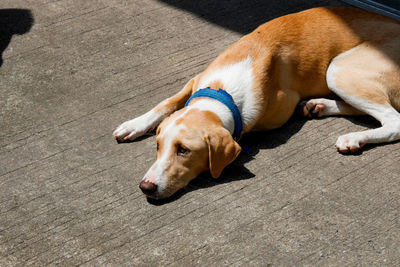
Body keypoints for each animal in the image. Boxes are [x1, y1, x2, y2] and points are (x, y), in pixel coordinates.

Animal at [111, 6, 400, 199]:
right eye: (157, 145)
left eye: (184, 150)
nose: (146, 187)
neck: (223, 94)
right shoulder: (195, 80)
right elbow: (166, 102)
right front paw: (134, 124)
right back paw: (319, 106)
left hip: (339, 68)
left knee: (393, 120)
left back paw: (354, 138)